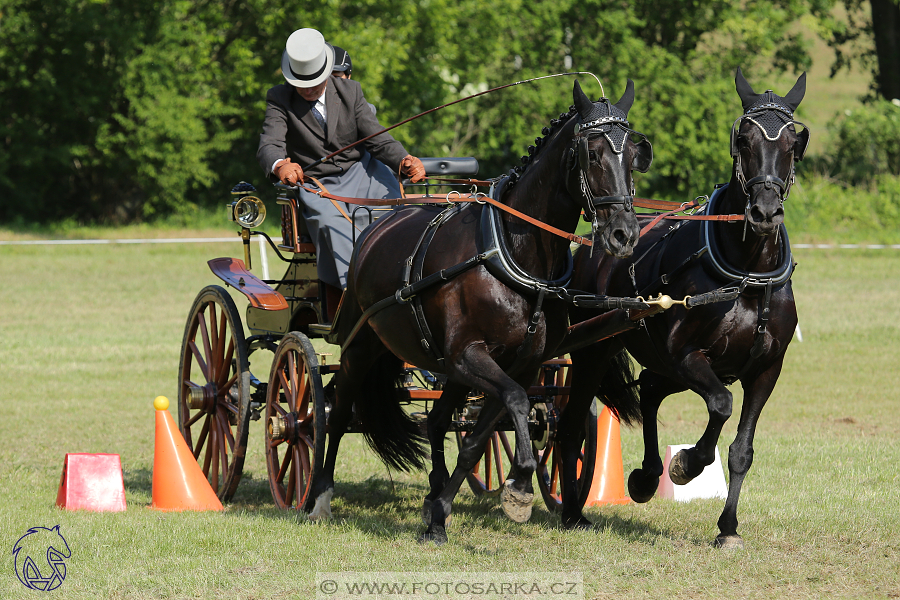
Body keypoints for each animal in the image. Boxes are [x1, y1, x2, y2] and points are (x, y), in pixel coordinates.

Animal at [306, 78, 652, 544]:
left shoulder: (521, 363)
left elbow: (480, 435)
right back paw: (319, 497)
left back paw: (433, 493)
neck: (515, 254)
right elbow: (518, 401)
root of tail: (376, 226)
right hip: (362, 347)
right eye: (592, 153)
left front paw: (439, 514)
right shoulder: (468, 355)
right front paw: (520, 484)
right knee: (339, 413)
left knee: (437, 421)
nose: (624, 234)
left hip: (441, 367)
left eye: (634, 155)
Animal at [564, 69, 808, 548]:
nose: (764, 212)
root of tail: (593, 244)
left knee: (650, 390)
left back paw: (645, 476)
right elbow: (721, 405)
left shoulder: (766, 369)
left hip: (665, 366)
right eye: (743, 140)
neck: (747, 275)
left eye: (793, 143)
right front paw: (687, 464)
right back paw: (571, 505)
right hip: (596, 350)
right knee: (571, 418)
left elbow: (741, 450)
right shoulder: (687, 355)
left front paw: (728, 527)